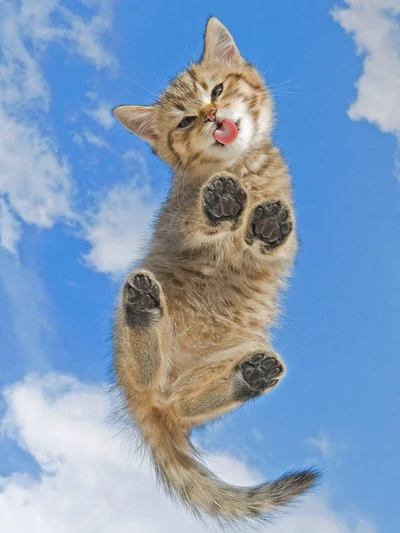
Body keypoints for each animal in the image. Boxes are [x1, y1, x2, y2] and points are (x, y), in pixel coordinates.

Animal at [113, 15, 318, 520]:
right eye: (185, 121)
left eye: (217, 89)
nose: (209, 116)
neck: (241, 167)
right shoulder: (177, 226)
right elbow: (196, 224)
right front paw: (221, 202)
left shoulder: (284, 247)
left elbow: (274, 241)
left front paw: (264, 221)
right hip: (135, 348)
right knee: (152, 381)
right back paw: (142, 305)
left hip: (233, 353)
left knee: (181, 404)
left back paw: (251, 377)